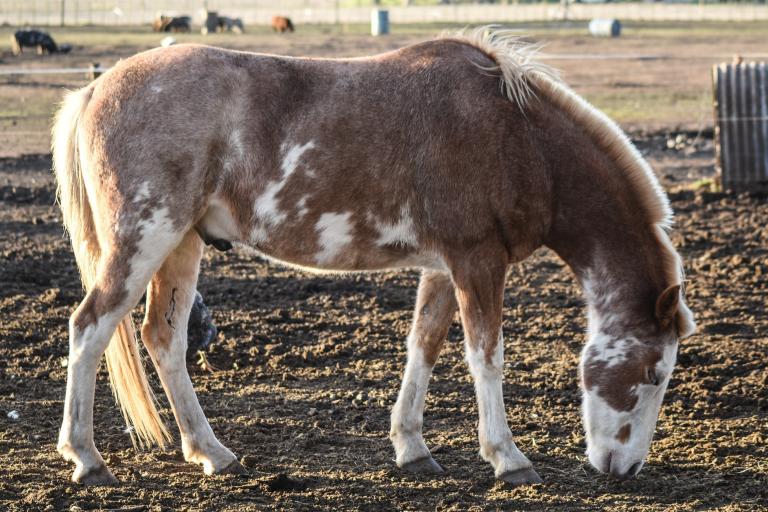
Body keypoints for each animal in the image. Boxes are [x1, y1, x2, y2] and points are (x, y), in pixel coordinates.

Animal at [49, 27, 696, 484]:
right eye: (656, 372)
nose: (626, 469)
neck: (516, 137)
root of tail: (96, 87)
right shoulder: (478, 263)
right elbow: (485, 358)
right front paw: (508, 458)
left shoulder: (445, 267)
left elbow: (424, 347)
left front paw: (412, 448)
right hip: (144, 240)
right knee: (90, 327)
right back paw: (87, 459)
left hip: (181, 245)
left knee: (163, 338)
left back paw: (211, 452)